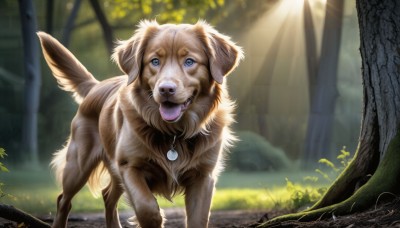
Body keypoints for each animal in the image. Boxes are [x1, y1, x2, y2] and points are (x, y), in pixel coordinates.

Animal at [38, 20, 244, 228]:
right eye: (155, 61)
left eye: (189, 61)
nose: (166, 89)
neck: (174, 132)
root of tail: (96, 86)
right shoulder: (129, 166)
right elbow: (147, 208)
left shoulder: (203, 176)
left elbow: (198, 219)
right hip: (78, 165)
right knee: (63, 200)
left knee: (107, 196)